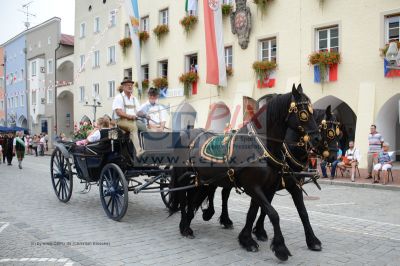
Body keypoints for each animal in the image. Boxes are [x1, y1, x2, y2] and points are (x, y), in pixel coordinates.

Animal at [171, 85, 322, 262]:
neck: (261, 147)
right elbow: (273, 213)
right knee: (184, 200)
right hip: (186, 180)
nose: (317, 138)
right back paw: (185, 226)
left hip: (203, 180)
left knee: (195, 200)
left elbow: (256, 212)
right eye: (303, 113)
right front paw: (280, 248)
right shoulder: (253, 187)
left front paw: (247, 239)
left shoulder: (267, 187)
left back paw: (190, 222)